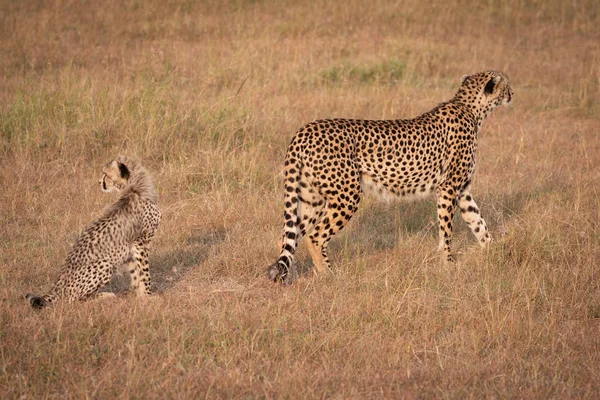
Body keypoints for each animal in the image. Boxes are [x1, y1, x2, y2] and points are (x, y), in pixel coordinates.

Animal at [25, 155, 161, 306]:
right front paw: (148, 296)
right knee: (73, 299)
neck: (133, 188)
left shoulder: (132, 248)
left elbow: (136, 274)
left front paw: (140, 295)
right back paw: (104, 296)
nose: (99, 182)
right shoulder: (141, 243)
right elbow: (145, 273)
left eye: (106, 174)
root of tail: (59, 281)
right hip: (106, 263)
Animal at [268, 70, 510, 282]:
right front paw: (449, 262)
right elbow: (447, 228)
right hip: (346, 196)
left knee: (289, 237)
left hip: (311, 198)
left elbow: (478, 222)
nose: (512, 93)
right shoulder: (448, 189)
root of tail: (305, 130)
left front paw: (493, 251)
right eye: (506, 84)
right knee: (314, 237)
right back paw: (329, 274)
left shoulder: (463, 192)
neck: (469, 107)